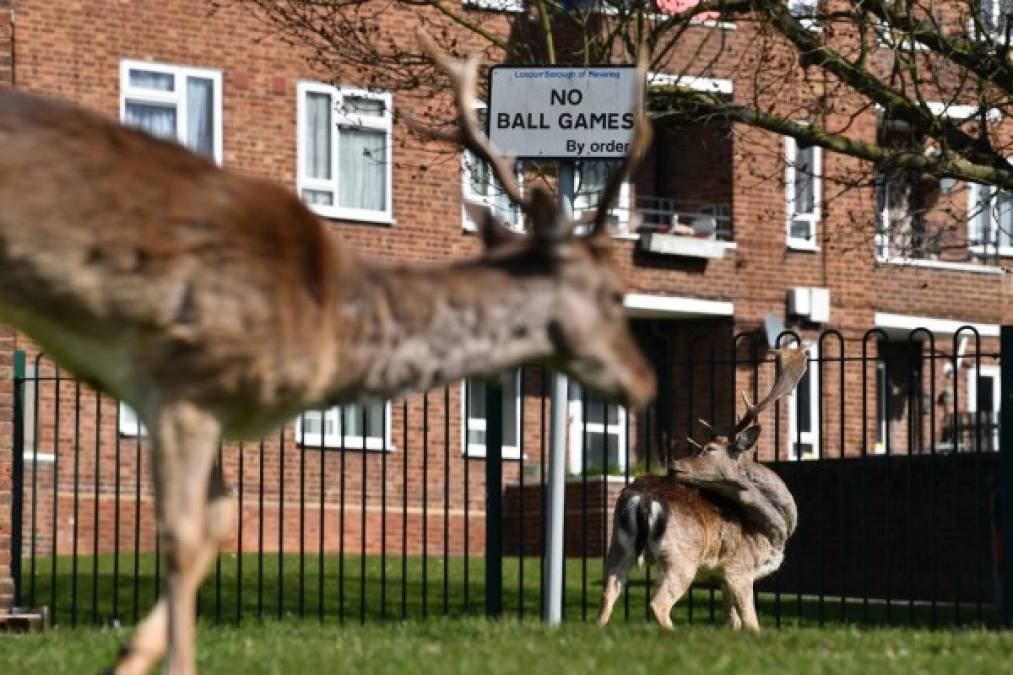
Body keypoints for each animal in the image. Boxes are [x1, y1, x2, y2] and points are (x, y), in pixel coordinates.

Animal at [0, 27, 656, 672]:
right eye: (612, 294)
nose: (646, 381)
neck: (327, 325)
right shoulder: (186, 382)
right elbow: (182, 538)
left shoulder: (217, 405)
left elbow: (221, 523)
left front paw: (129, 654)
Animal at [599, 346, 806, 632]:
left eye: (707, 449)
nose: (672, 465)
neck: (770, 529)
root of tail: (643, 499)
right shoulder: (739, 568)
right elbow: (751, 623)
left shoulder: (723, 578)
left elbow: (732, 622)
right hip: (681, 556)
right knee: (658, 604)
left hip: (617, 545)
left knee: (608, 594)